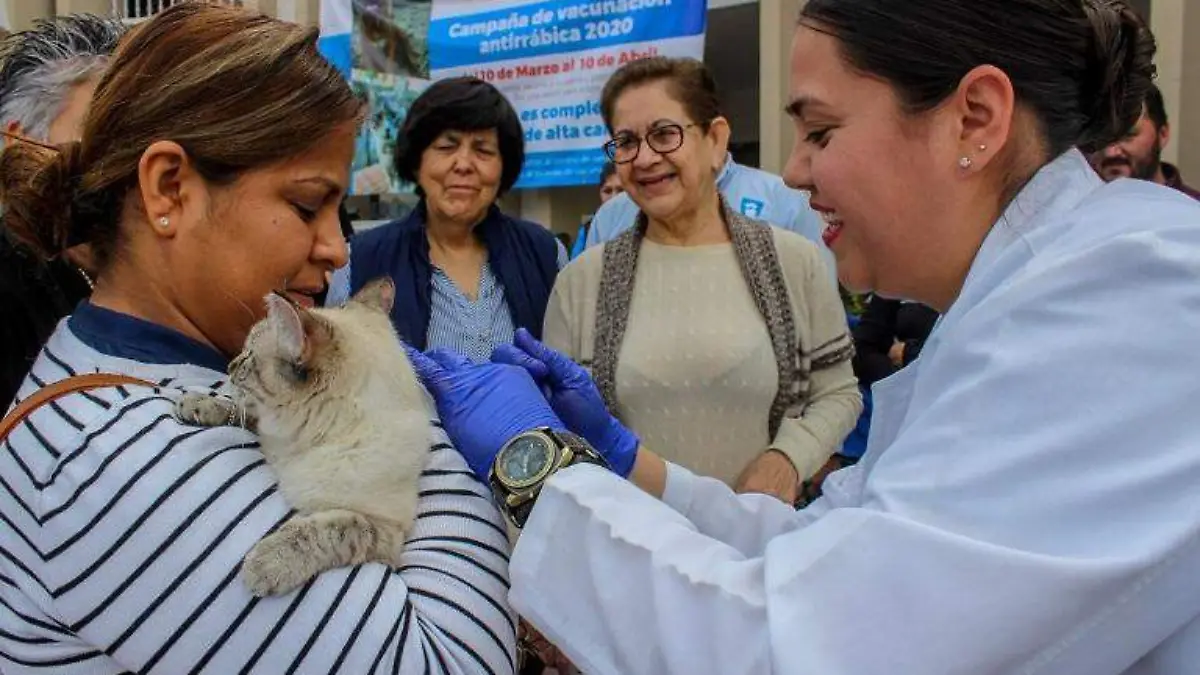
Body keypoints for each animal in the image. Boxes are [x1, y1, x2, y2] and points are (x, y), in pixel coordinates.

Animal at [176, 278, 432, 596]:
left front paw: (267, 562)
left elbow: (329, 529)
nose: (229, 367)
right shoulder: (269, 430)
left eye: (247, 358)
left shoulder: (386, 530)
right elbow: (241, 411)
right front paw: (196, 404)